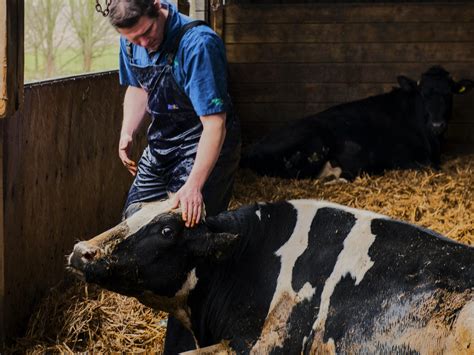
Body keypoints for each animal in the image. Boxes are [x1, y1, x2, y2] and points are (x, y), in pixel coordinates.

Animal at [241, 66, 474, 179]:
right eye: (423, 94)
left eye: (448, 93)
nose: (437, 125)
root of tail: (252, 148)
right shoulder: (405, 158)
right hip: (315, 142)